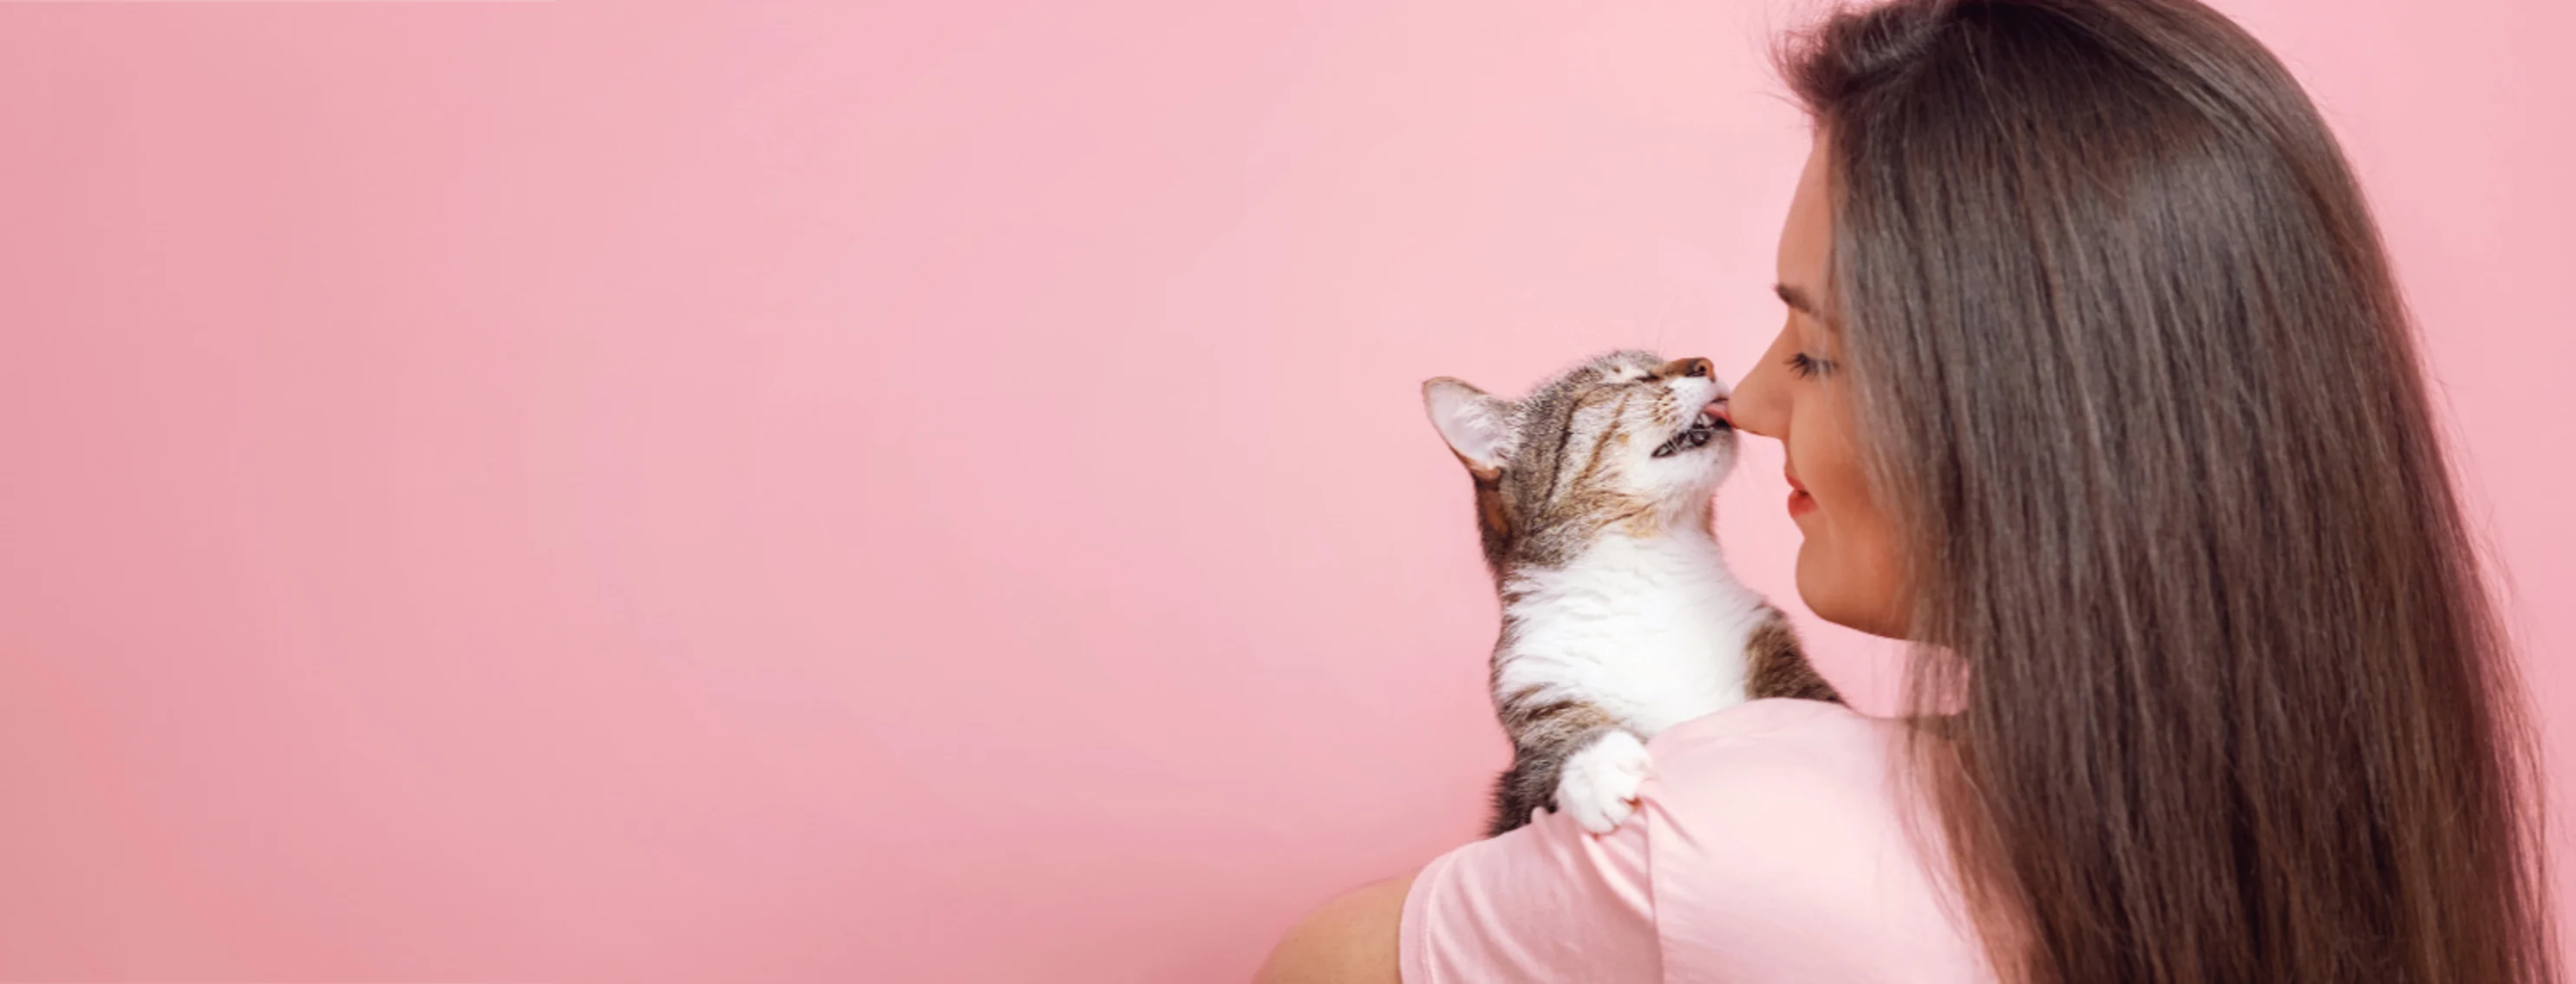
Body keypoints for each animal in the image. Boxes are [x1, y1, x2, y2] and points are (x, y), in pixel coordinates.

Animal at [1422, 350, 1844, 834]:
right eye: (1618, 381)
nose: (1703, 363)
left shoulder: (1771, 644)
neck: (1650, 575)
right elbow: (1549, 752)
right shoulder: (1530, 694)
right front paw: (1594, 765)